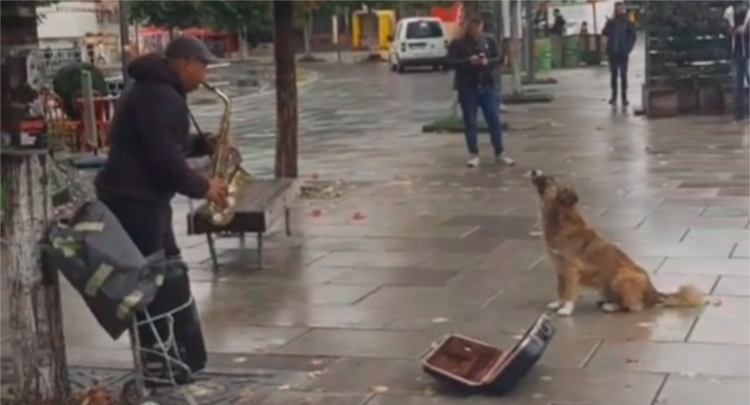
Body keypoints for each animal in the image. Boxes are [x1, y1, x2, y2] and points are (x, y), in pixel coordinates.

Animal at [528, 168, 704, 316]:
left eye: (550, 180)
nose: (534, 170)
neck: (560, 218)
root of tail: (654, 293)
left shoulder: (571, 270)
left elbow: (569, 292)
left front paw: (566, 308)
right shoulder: (559, 269)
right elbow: (560, 290)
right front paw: (558, 303)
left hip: (622, 277)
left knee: (634, 306)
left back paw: (612, 306)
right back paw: (607, 302)